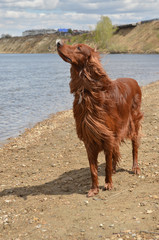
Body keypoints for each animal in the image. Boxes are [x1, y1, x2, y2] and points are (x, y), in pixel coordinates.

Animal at [56, 39, 143, 197]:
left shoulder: (107, 135)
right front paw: (94, 189)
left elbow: (107, 164)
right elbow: (93, 169)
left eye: (79, 47)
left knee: (135, 147)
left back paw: (135, 167)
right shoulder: (89, 138)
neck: (88, 92)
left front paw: (108, 184)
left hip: (133, 123)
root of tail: (134, 80)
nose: (58, 42)